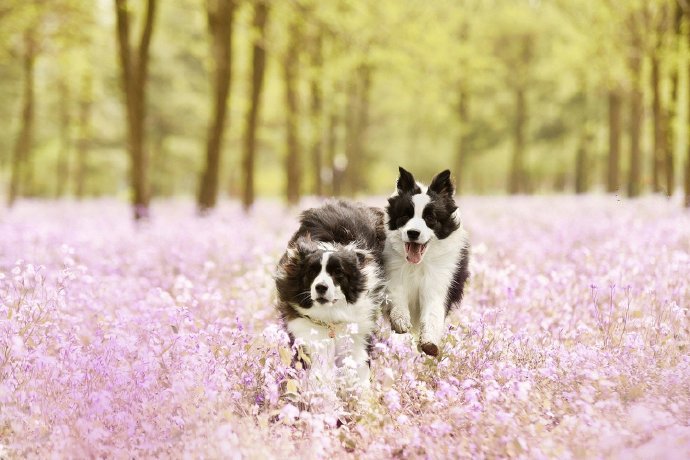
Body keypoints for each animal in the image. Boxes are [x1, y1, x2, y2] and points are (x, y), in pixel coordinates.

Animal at [272, 200, 384, 384]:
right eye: (311, 272)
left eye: (338, 272)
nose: (321, 287)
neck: (330, 315)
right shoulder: (307, 328)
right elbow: (319, 369)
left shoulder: (357, 331)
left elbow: (358, 367)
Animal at [382, 167, 468, 358]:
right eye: (405, 215)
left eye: (430, 218)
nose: (413, 233)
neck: (418, 265)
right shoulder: (394, 276)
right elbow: (397, 298)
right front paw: (400, 321)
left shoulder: (438, 282)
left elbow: (433, 313)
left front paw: (430, 343)